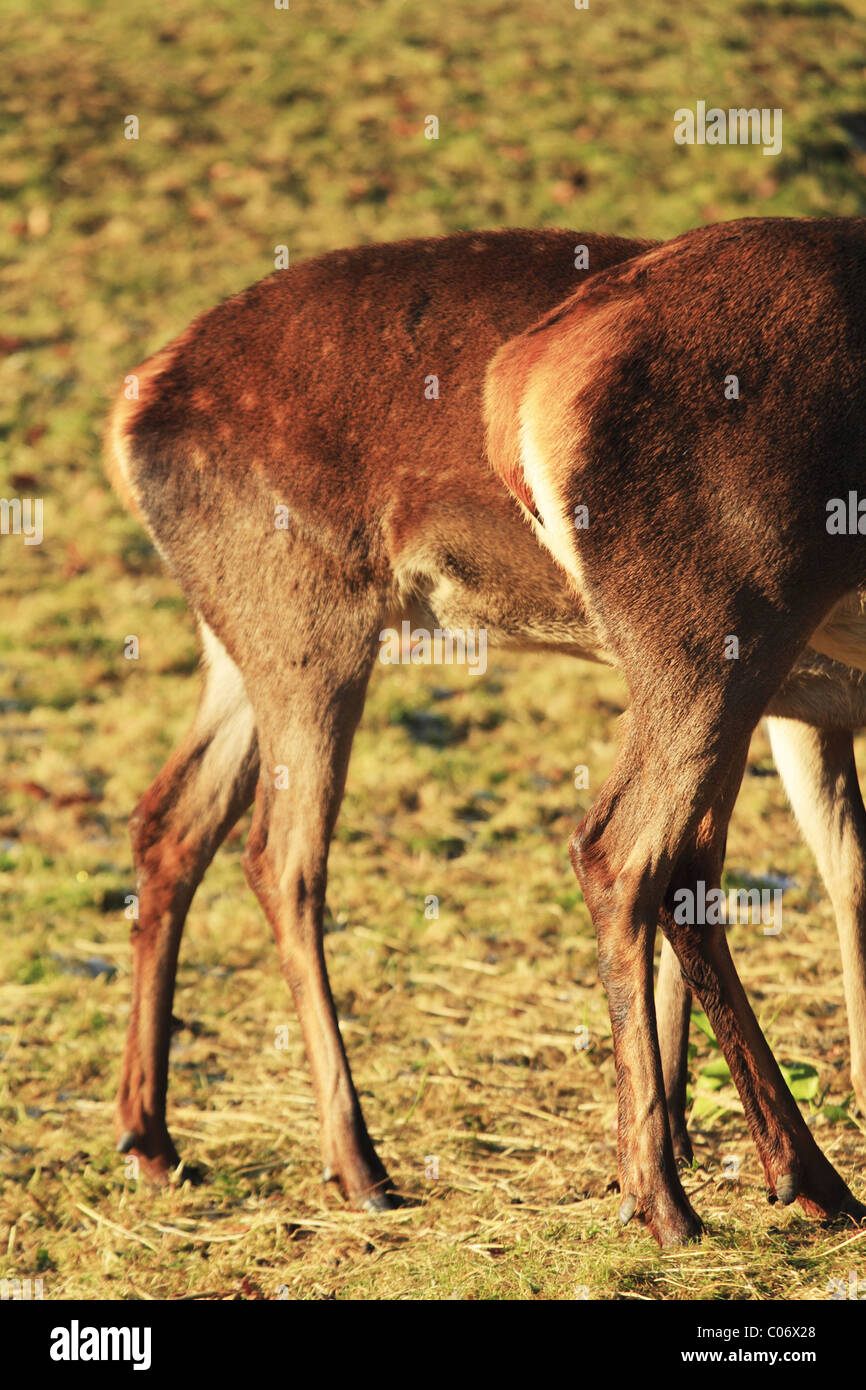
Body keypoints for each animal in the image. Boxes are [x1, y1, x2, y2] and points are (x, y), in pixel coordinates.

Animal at [104, 222, 866, 1245]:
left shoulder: (811, 708)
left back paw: (153, 1140)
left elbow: (838, 867)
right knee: (307, 854)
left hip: (244, 637)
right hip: (668, 616)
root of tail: (132, 406)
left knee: (171, 818)